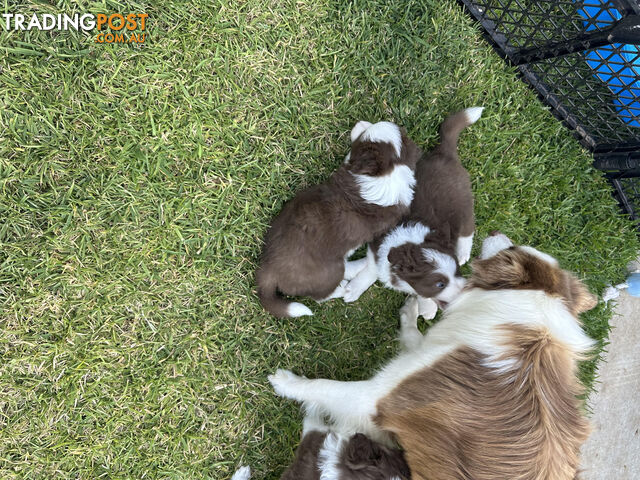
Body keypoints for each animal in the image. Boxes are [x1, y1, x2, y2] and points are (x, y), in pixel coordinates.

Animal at [258, 120, 422, 316]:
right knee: (322, 293)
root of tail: (268, 269)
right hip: (330, 270)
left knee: (321, 294)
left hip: (329, 271)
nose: (360, 122)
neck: (388, 174)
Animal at [268, 231, 596, 478]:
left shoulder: (381, 395)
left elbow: (326, 387)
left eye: (511, 249)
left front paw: (286, 383)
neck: (532, 326)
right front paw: (411, 313)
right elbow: (416, 339)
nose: (494, 231)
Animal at [342, 107, 482, 320]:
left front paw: (426, 307)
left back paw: (462, 251)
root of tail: (444, 153)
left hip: (463, 202)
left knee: (467, 229)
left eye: (457, 272)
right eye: (440, 284)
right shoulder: (377, 246)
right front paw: (355, 287)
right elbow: (372, 270)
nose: (467, 290)